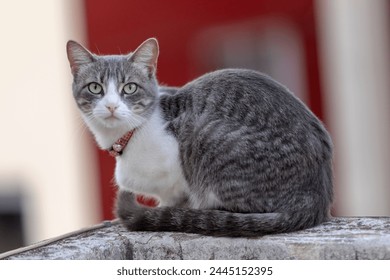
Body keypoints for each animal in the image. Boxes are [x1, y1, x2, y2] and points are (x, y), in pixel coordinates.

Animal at [66, 37, 332, 236]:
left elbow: (173, 197)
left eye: (129, 87)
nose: (111, 106)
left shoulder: (176, 165)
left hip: (207, 136)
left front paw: (167, 212)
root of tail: (317, 195)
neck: (129, 135)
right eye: (95, 88)